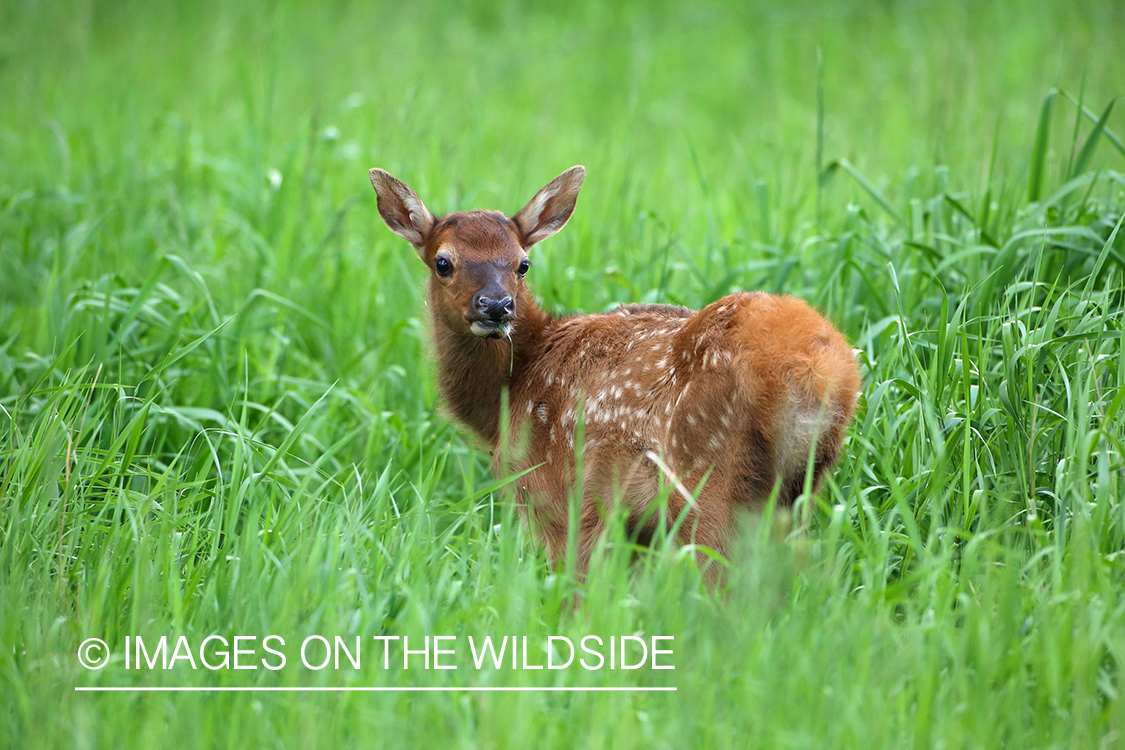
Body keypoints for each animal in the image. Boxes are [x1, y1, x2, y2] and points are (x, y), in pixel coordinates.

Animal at [371, 165, 859, 580]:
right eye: (443, 262)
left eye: (522, 263)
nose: (496, 306)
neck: (512, 391)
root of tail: (823, 371)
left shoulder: (559, 496)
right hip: (798, 488)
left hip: (708, 481)